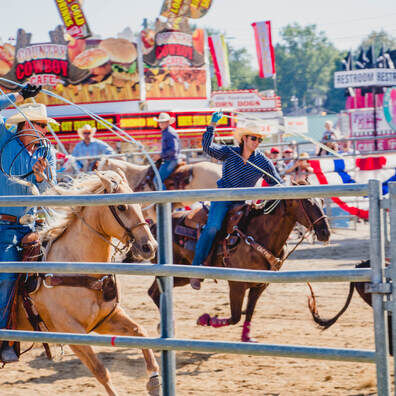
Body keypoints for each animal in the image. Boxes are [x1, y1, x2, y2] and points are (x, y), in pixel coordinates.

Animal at [14, 171, 159, 396]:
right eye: (121, 207)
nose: (150, 246)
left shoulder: (105, 319)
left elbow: (140, 331)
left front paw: (154, 380)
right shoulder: (70, 332)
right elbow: (100, 371)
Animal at [147, 198, 330, 344]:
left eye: (322, 201)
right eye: (307, 202)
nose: (325, 232)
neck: (259, 235)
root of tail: (153, 226)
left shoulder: (260, 285)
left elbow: (249, 312)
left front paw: (246, 337)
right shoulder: (237, 284)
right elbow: (235, 317)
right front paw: (205, 319)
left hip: (181, 275)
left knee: (153, 292)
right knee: (155, 292)